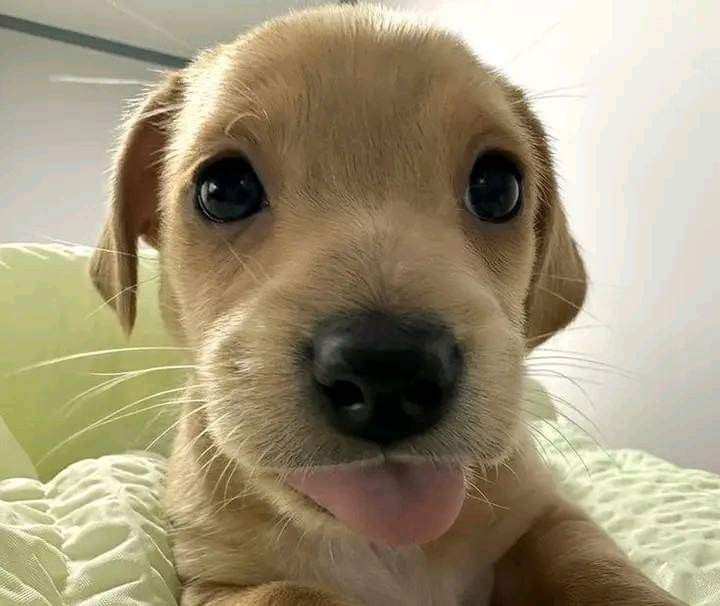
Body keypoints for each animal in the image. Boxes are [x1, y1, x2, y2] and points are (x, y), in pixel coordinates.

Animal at [90, 4, 688, 606]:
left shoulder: (547, 516)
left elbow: (599, 568)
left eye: (498, 187)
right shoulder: (220, 583)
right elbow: (289, 593)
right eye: (225, 189)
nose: (388, 372)